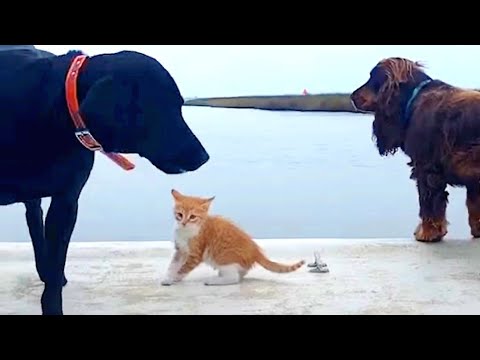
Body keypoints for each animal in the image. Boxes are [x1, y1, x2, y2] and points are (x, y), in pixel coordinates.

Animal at [161, 188, 304, 286]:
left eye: (192, 217)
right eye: (179, 215)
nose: (184, 222)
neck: (187, 230)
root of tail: (255, 251)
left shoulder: (195, 254)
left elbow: (183, 268)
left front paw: (174, 278)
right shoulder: (180, 250)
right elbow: (173, 265)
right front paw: (168, 277)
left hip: (223, 257)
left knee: (234, 278)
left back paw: (213, 281)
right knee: (241, 273)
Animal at [350, 57, 480, 243]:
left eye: (373, 77)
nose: (352, 96)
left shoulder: (427, 168)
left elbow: (428, 204)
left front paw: (427, 233)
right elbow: (474, 205)